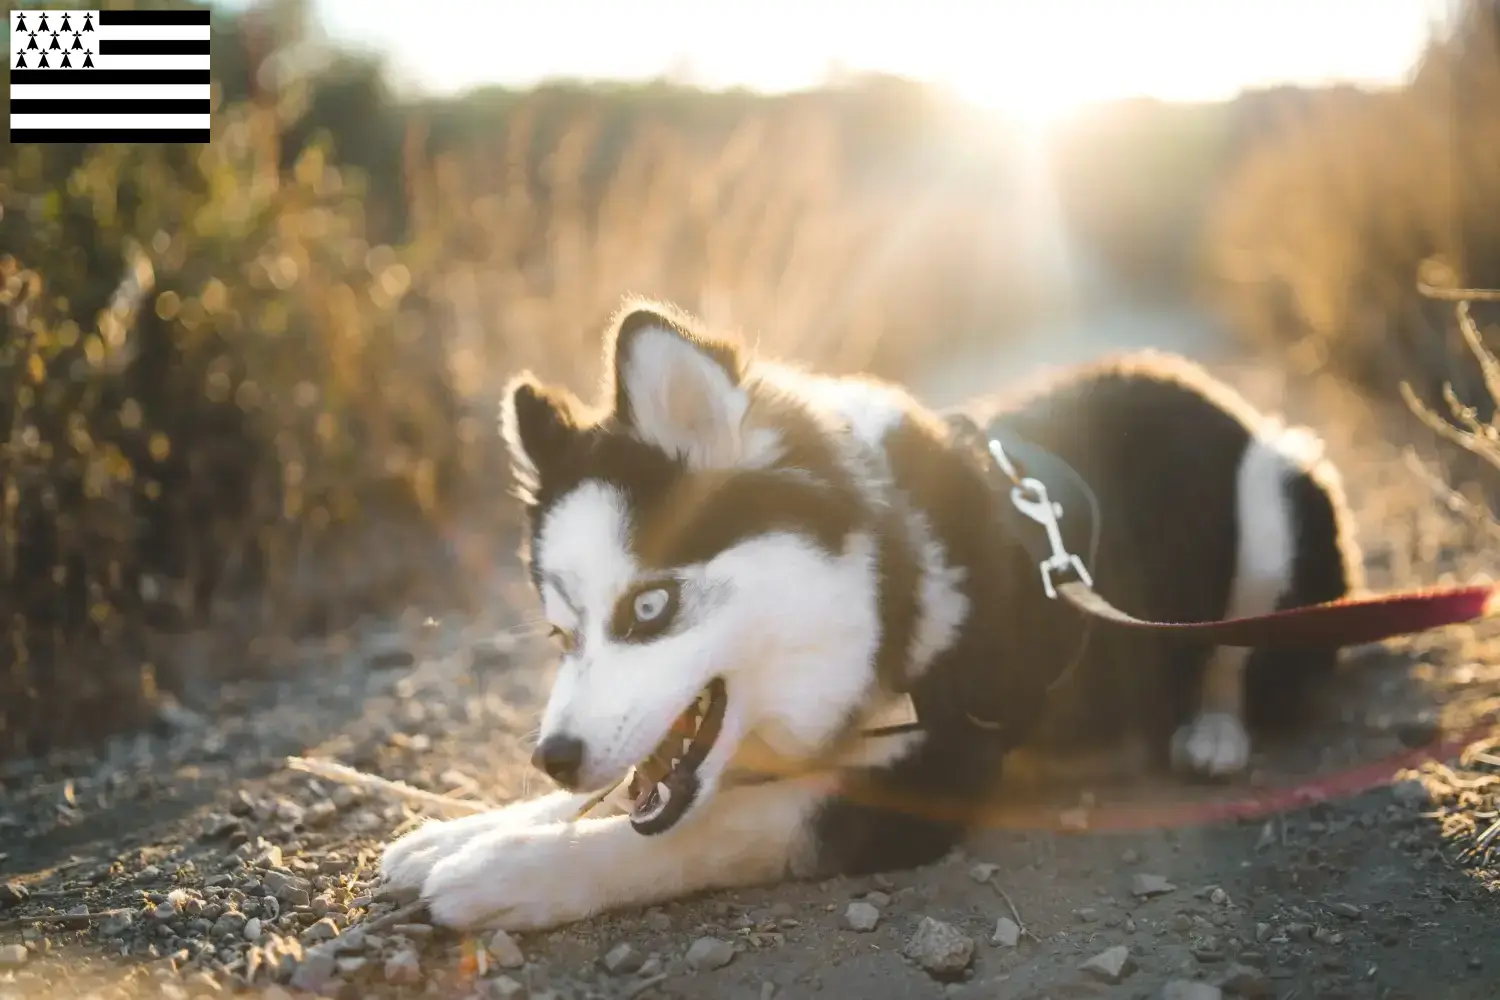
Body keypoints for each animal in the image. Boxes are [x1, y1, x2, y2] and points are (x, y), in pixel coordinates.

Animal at [381, 301, 1368, 935]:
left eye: (650, 605)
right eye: (560, 632)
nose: (551, 756)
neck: (880, 584)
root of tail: (1199, 384)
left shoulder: (942, 765)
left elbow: (706, 827)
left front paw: (508, 872)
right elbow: (633, 794)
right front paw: (463, 831)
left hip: (1280, 490)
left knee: (1238, 649)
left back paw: (1212, 729)